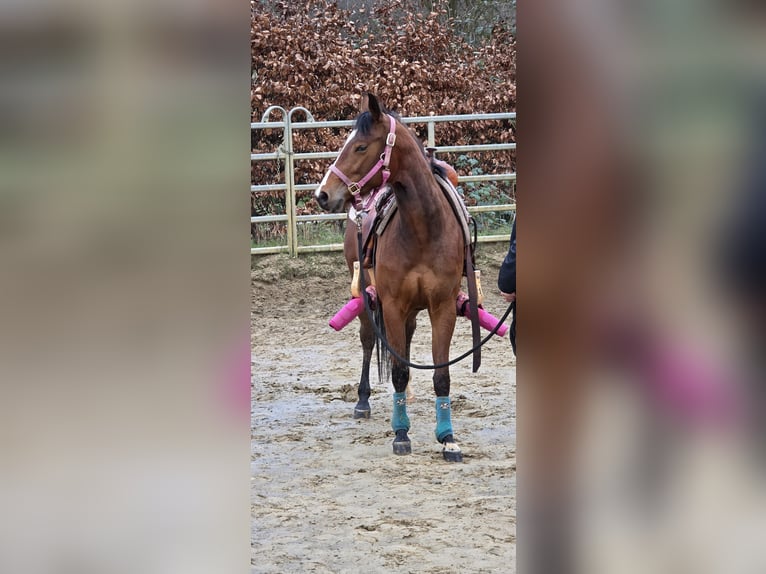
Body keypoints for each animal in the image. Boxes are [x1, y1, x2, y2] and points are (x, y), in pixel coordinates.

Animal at [314, 93, 469, 462]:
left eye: (360, 146)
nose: (323, 194)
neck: (424, 227)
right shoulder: (393, 304)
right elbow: (397, 370)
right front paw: (401, 433)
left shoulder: (442, 307)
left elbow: (441, 375)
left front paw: (448, 438)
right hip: (367, 296)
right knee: (369, 339)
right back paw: (363, 400)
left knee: (407, 341)